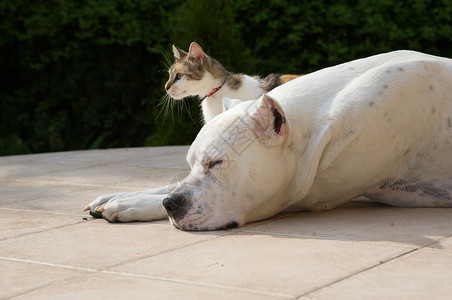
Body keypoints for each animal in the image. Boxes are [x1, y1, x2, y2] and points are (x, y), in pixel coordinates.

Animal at [85, 50, 452, 231]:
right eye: (192, 163)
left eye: (216, 163)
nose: (171, 205)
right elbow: (168, 183)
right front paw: (122, 196)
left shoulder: (300, 193)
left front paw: (132, 205)